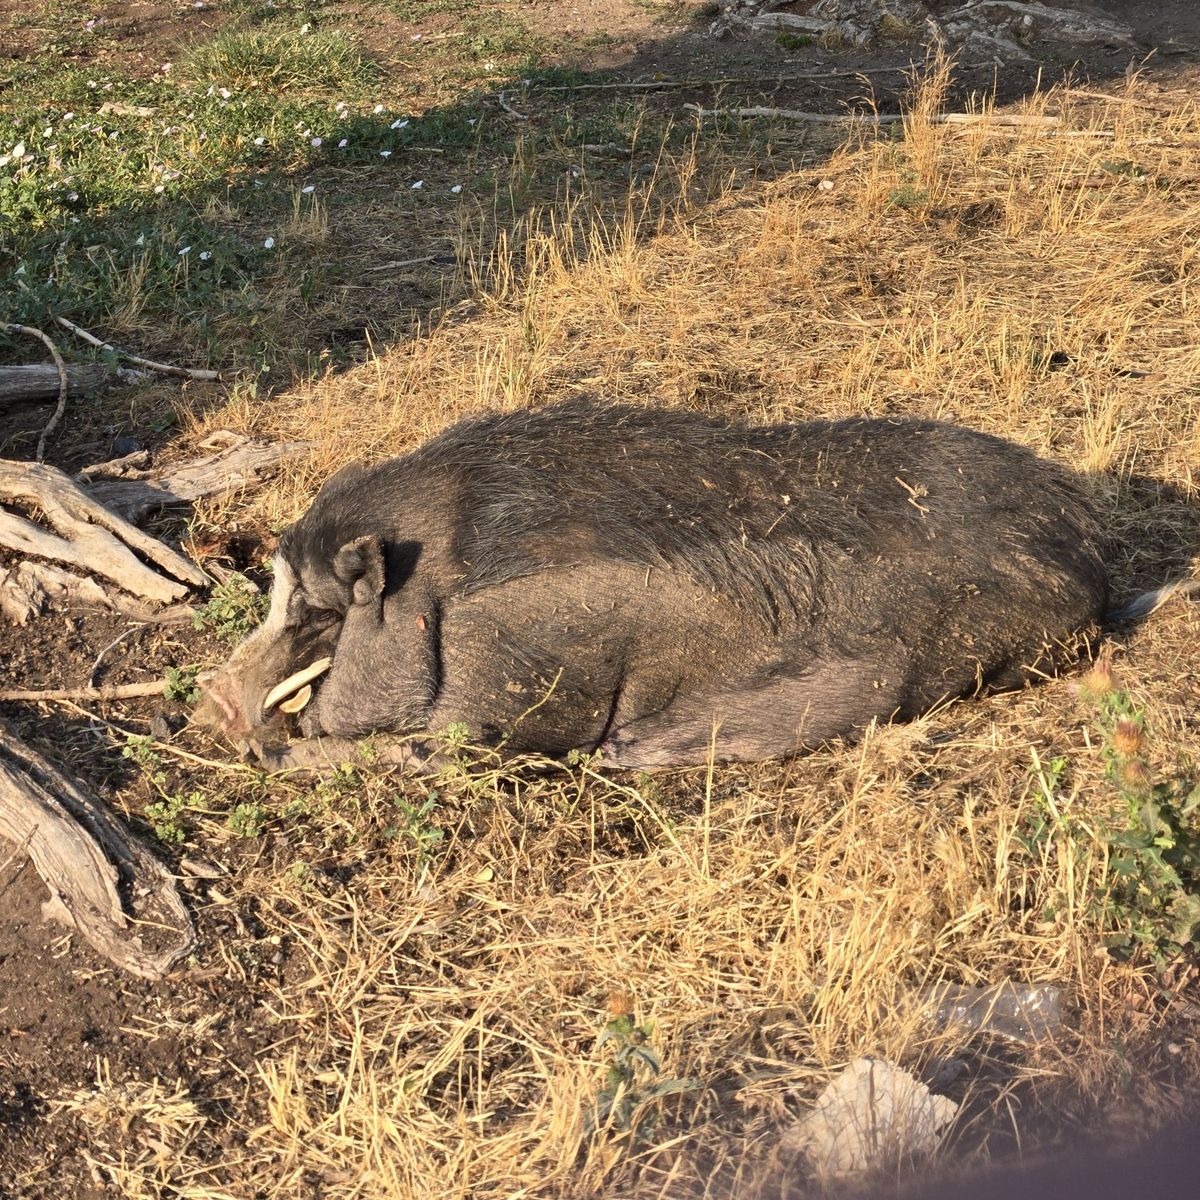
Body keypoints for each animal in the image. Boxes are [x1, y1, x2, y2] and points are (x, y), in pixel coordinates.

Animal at [195, 399, 1112, 771]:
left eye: (315, 610)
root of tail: (1090, 552)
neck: (439, 584)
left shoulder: (507, 691)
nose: (212, 697)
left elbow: (429, 748)